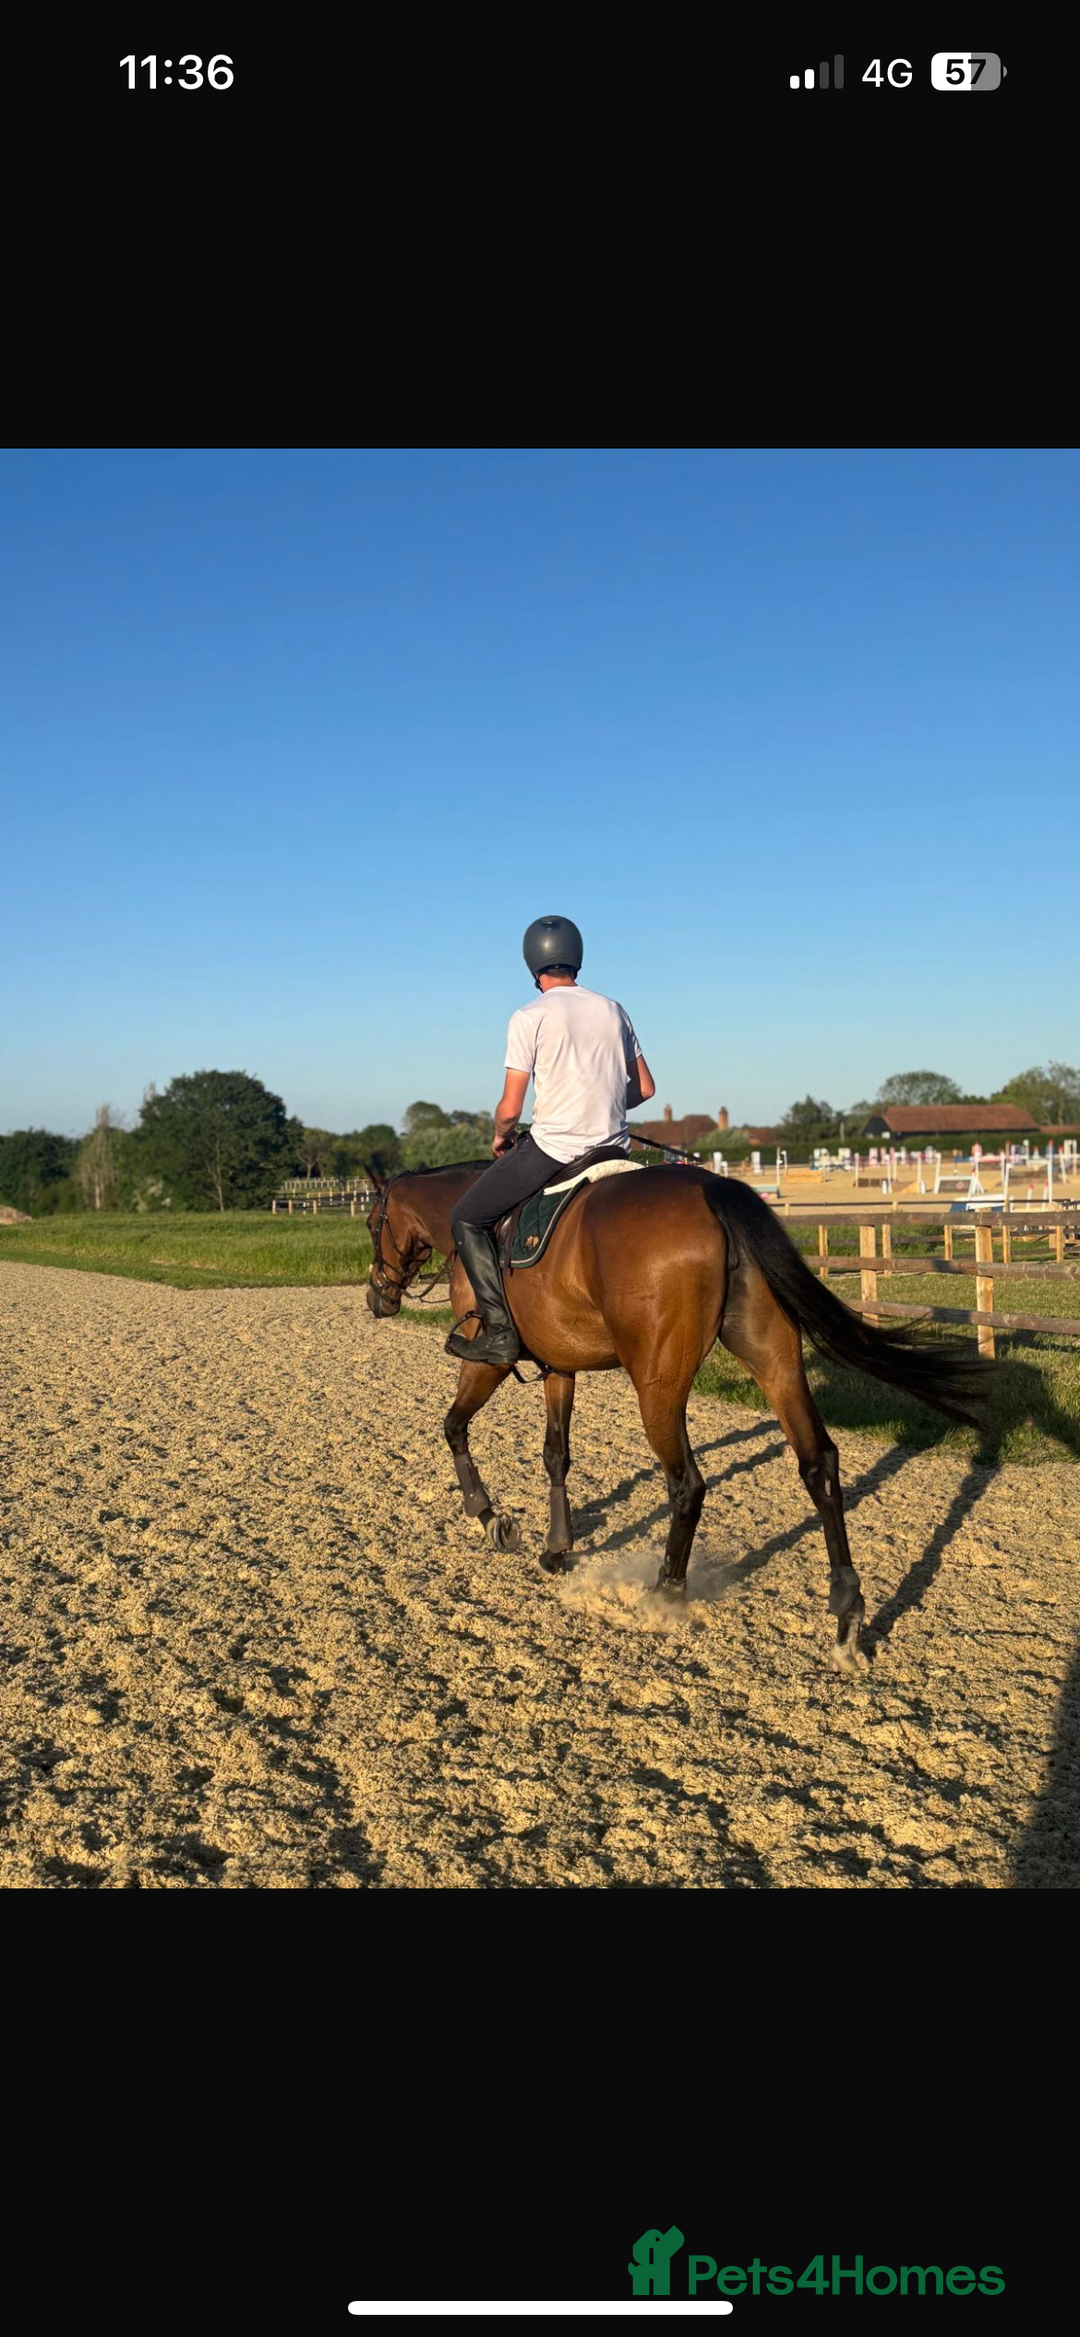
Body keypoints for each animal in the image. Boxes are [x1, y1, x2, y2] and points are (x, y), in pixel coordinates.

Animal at [364, 1159, 986, 1666]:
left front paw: (491, 1518)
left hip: (658, 1386)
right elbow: (556, 1455)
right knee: (819, 1464)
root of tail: (712, 1190)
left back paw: (665, 1592)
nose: (377, 1298)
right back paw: (848, 1616)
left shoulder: (489, 1362)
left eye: (372, 1223)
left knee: (687, 1483)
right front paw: (557, 1548)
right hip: (775, 1362)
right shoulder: (560, 1367)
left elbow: (453, 1426)